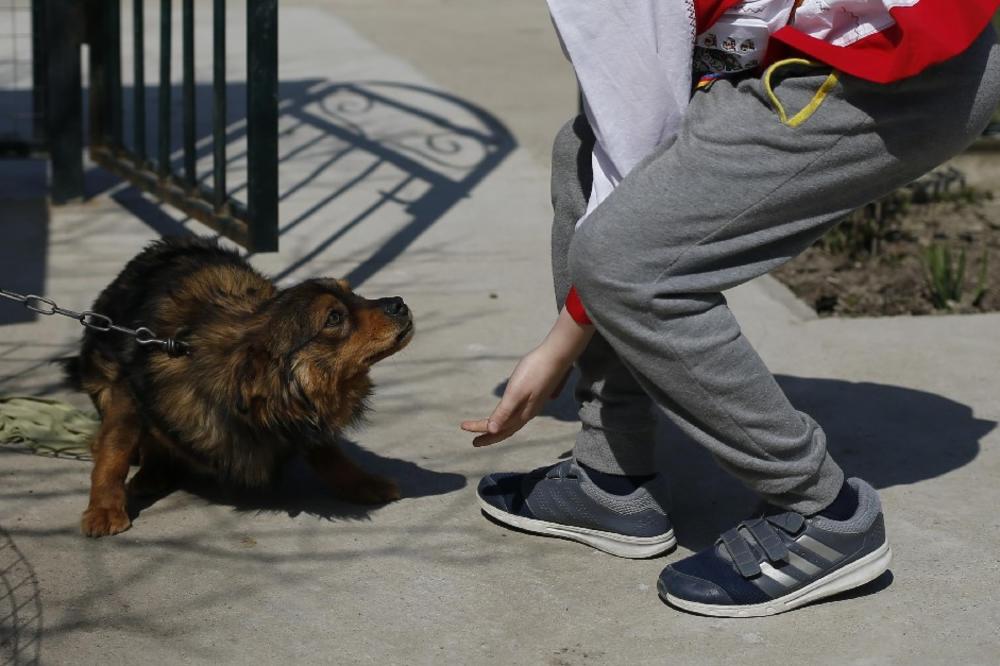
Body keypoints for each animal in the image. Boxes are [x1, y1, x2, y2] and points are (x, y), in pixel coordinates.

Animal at [64, 236, 412, 536]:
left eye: (354, 293)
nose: (399, 303)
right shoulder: (127, 390)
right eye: (334, 318)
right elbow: (115, 451)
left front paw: (361, 482)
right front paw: (104, 508)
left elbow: (325, 449)